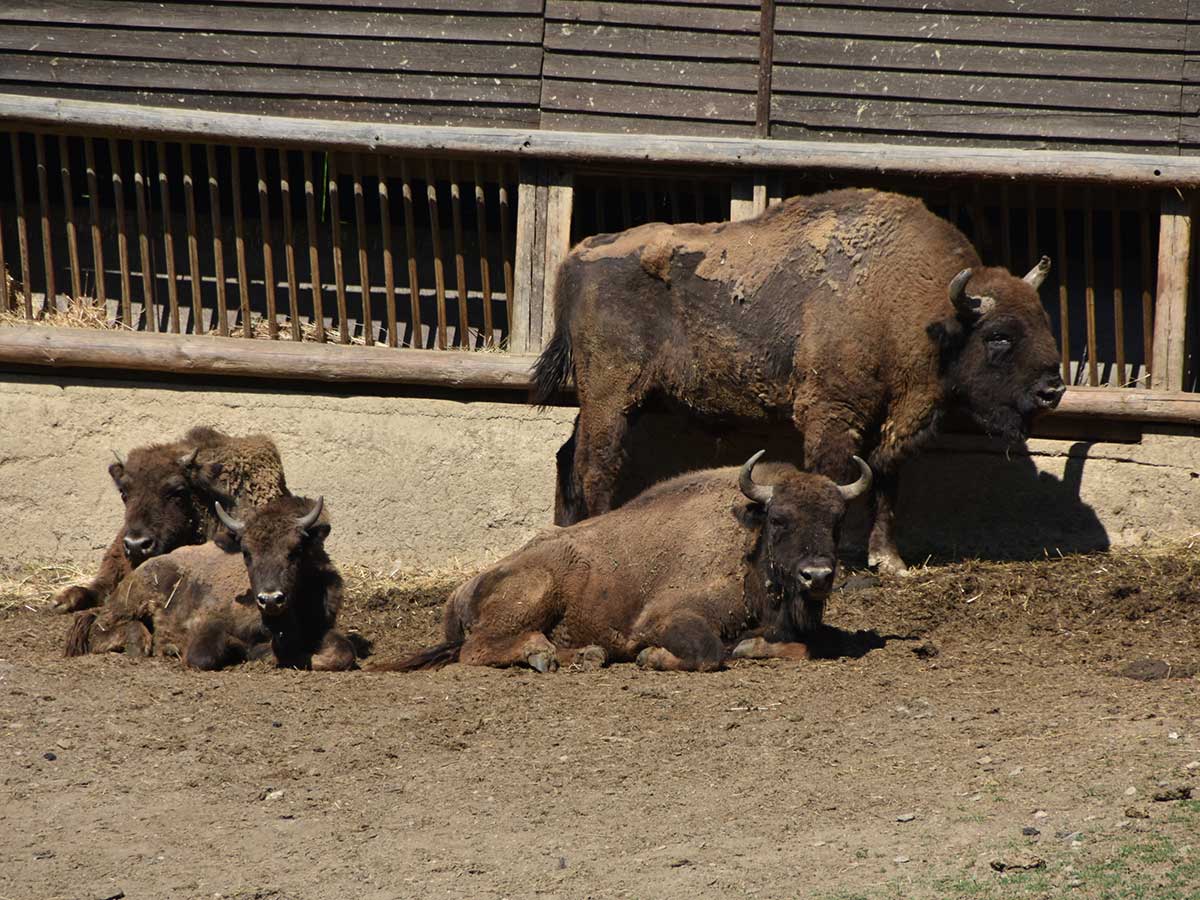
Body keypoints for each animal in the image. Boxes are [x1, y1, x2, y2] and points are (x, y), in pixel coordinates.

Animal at [65, 496, 355, 672]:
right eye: (246, 553)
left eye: (295, 551)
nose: (271, 599)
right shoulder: (207, 626)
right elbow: (204, 655)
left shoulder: (322, 627)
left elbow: (342, 652)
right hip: (134, 599)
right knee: (102, 628)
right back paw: (147, 643)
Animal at [381, 453, 873, 672]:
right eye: (779, 518)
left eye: (836, 519)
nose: (817, 575)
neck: (747, 542)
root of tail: (462, 588)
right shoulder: (667, 618)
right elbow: (709, 653)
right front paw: (651, 657)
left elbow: (806, 646)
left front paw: (752, 646)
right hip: (537, 589)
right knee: (477, 650)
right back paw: (542, 655)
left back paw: (584, 655)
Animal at [535, 187, 1060, 573]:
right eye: (999, 335)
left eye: (1043, 322)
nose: (1052, 389)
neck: (914, 304)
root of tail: (575, 257)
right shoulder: (832, 413)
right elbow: (836, 478)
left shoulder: (892, 423)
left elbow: (885, 482)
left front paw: (889, 562)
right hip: (614, 395)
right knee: (597, 463)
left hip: (609, 399)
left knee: (569, 455)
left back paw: (562, 532)